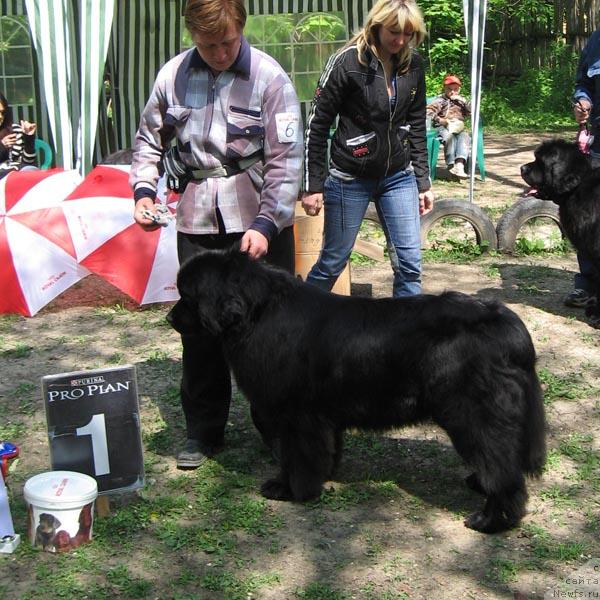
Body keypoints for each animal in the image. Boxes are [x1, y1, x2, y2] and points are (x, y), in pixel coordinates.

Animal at [166, 248, 548, 536]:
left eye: (187, 296)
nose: (169, 318)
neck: (257, 313)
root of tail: (510, 327)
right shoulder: (321, 417)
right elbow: (324, 450)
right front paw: (324, 475)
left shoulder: (296, 415)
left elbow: (296, 457)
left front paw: (289, 490)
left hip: (473, 414)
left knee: (502, 469)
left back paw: (491, 520)